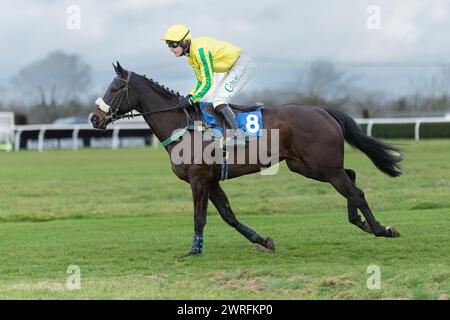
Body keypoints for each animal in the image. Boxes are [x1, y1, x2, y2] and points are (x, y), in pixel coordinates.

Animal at [89, 62, 402, 258]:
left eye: (115, 89)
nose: (94, 118)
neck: (184, 124)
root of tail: (323, 110)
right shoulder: (211, 180)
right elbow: (229, 216)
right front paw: (263, 240)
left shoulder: (198, 179)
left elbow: (200, 217)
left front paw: (194, 251)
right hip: (308, 165)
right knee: (351, 177)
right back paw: (359, 221)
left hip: (322, 166)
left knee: (355, 191)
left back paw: (381, 229)